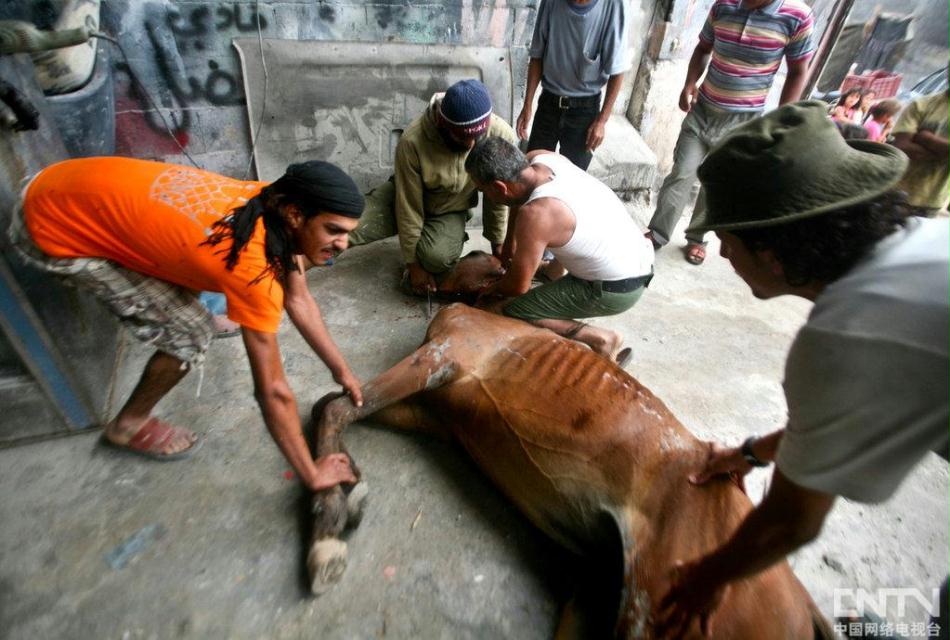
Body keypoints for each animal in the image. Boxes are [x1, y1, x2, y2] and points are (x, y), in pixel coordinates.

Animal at [306, 302, 832, 636]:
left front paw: (328, 534)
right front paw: (347, 490)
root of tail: (807, 610)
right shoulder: (440, 417)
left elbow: (336, 407)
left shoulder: (445, 356)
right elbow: (329, 405)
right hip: (602, 592)